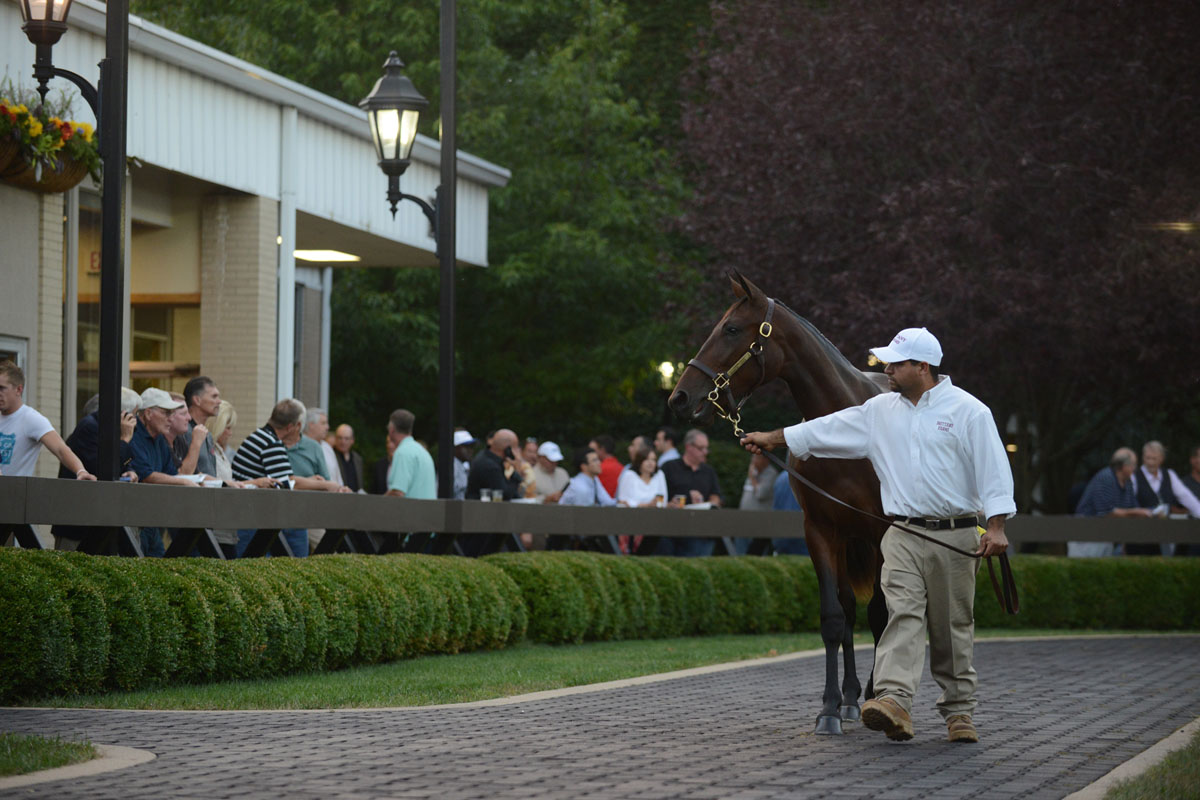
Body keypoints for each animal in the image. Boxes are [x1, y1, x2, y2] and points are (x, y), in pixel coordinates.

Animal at [667, 272, 892, 734]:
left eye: (732, 329)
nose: (679, 398)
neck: (843, 430)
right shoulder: (820, 530)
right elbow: (833, 618)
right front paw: (830, 709)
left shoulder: (879, 531)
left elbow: (880, 613)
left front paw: (878, 696)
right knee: (847, 608)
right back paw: (849, 697)